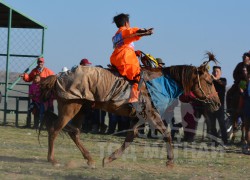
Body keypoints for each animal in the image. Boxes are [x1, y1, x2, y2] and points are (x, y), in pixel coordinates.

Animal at [40, 51, 221, 167]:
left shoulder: (139, 117)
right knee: (55, 130)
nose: (218, 103)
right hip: (70, 108)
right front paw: (170, 161)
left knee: (74, 133)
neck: (161, 83)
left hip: (82, 109)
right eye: (209, 82)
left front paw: (109, 159)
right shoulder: (152, 115)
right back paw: (52, 160)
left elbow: (130, 137)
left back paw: (90, 159)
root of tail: (59, 76)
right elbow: (167, 134)